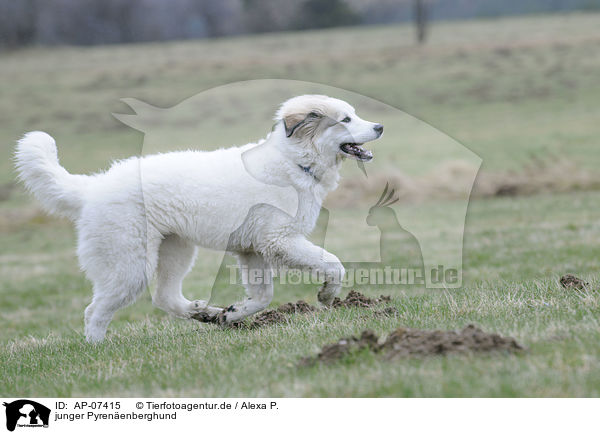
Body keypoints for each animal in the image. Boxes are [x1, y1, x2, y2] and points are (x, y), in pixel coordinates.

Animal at [15, 95, 384, 342]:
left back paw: (205, 313)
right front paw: (327, 296)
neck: (294, 162)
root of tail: (92, 187)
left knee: (163, 297)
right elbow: (333, 264)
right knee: (95, 311)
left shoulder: (253, 251)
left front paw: (233, 315)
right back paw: (98, 349)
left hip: (175, 251)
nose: (380, 126)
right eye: (346, 120)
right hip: (130, 266)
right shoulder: (280, 241)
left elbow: (262, 296)